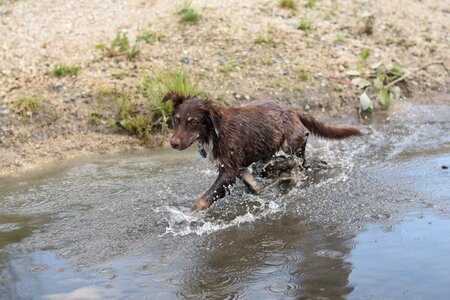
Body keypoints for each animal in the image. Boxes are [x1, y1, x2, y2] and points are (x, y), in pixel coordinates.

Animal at [163, 92, 364, 210]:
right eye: (176, 119)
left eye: (193, 122)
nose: (173, 143)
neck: (215, 130)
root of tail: (291, 108)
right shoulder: (239, 168)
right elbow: (253, 185)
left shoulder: (229, 170)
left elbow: (203, 200)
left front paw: (188, 215)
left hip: (290, 141)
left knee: (301, 153)